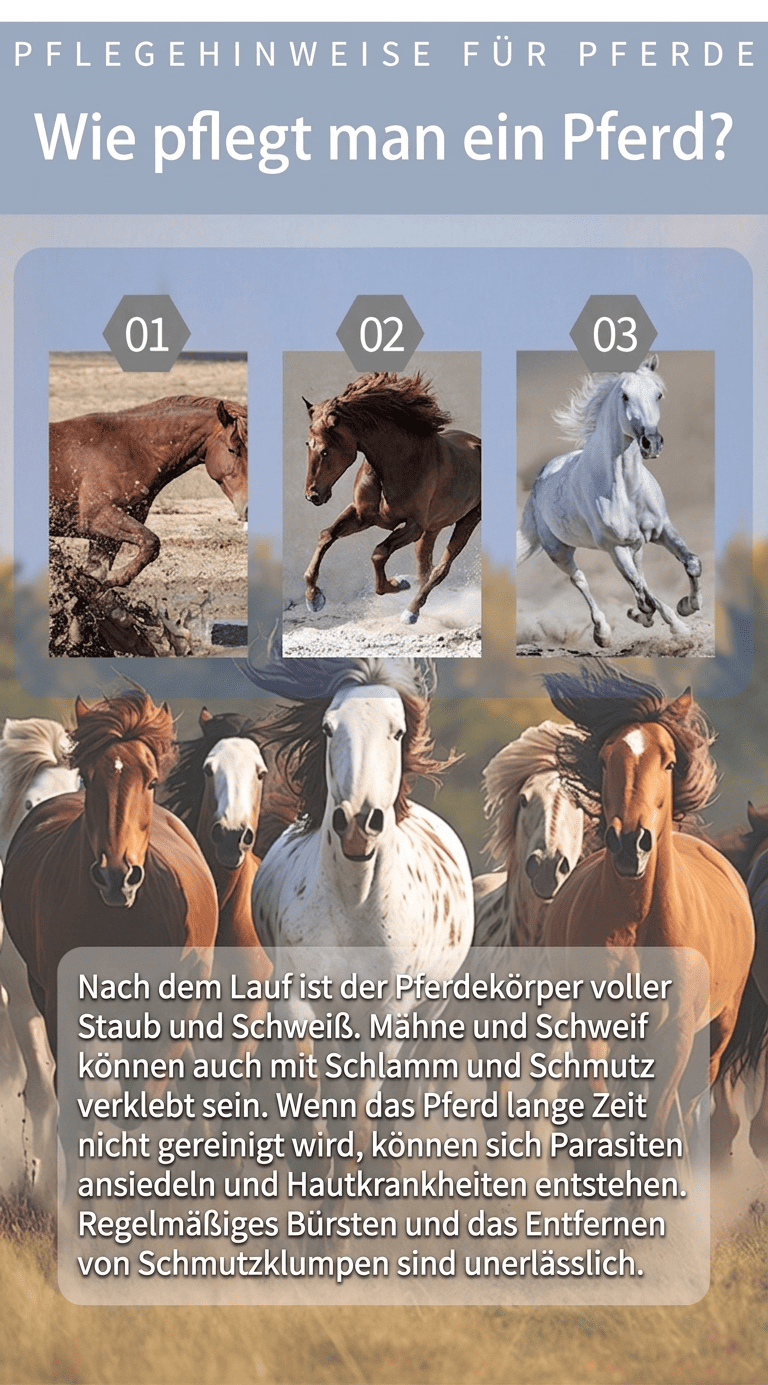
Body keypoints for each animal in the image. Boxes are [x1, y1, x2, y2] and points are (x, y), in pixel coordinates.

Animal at [50, 396, 248, 587]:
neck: (132, 448)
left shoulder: (108, 536)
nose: (247, 509)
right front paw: (112, 577)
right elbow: (151, 543)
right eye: (232, 449)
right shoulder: (97, 517)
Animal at [244, 654, 474, 1164]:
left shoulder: (388, 1015)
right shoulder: (297, 999)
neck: (354, 903)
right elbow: (310, 1096)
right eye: (329, 728)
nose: (356, 825)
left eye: (397, 730)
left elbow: (363, 1112)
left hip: (428, 1011)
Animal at [302, 372, 481, 625]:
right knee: (425, 567)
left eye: (325, 450)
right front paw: (314, 598)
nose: (312, 495)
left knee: (440, 569)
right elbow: (326, 535)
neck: (397, 463)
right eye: (308, 444)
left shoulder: (413, 526)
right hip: (432, 528)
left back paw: (411, 611)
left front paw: (398, 584)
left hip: (468, 520)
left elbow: (379, 553)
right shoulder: (362, 516)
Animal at [517, 356, 702, 647]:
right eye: (625, 396)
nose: (652, 444)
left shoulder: (662, 530)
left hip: (635, 546)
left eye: (658, 394)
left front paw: (687, 606)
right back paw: (602, 633)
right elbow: (645, 593)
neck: (627, 489)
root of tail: (541, 475)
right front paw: (670, 621)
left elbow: (691, 563)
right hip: (559, 551)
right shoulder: (615, 547)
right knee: (581, 581)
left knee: (640, 579)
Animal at [541, 664, 754, 1156]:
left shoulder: (675, 1036)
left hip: (715, 1036)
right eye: (604, 760)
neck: (638, 921)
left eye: (670, 762)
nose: (629, 844)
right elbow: (600, 1112)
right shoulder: (595, 1024)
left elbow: (654, 1126)